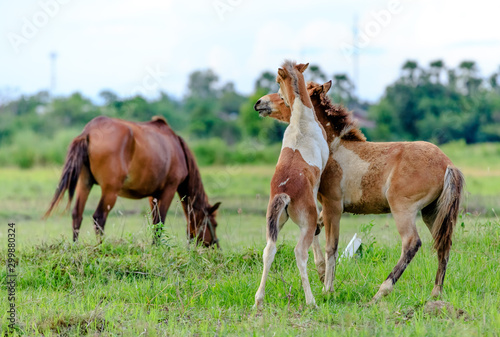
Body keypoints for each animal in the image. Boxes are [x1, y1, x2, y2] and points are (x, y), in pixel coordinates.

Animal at [44, 116, 221, 247]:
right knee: (99, 217)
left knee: (77, 215)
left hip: (85, 183)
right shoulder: (169, 190)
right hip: (110, 191)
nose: (215, 245)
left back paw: (75, 246)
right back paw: (100, 247)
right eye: (215, 224)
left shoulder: (153, 195)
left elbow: (154, 221)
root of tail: (89, 132)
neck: (177, 147)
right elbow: (159, 222)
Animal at [254, 80, 464, 302]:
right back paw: (436, 293)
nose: (260, 102)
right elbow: (317, 229)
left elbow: (332, 246)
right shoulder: (326, 207)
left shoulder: (333, 205)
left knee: (411, 243)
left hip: (403, 209)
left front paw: (327, 289)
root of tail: (447, 164)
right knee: (443, 244)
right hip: (432, 212)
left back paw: (380, 293)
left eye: (283, 95)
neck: (333, 147)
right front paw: (321, 273)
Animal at [256, 61, 330, 308]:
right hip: (305, 225)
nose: (259, 103)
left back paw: (258, 300)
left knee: (269, 250)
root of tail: (284, 192)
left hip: (275, 222)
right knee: (300, 252)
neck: (301, 121)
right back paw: (311, 300)